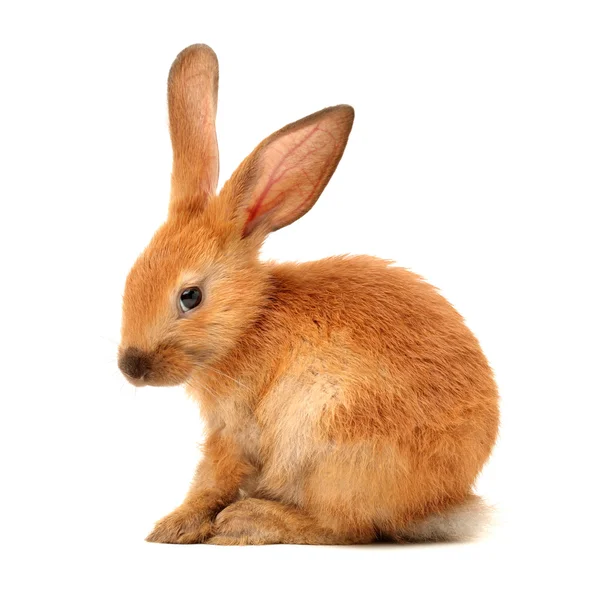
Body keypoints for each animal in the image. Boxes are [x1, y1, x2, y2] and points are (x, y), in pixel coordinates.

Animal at [118, 44, 502, 548]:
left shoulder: (234, 430)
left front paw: (173, 527)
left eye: (190, 297)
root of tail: (440, 501)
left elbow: (211, 480)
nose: (130, 366)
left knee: (343, 528)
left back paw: (250, 521)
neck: (251, 322)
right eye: (130, 278)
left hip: (329, 443)